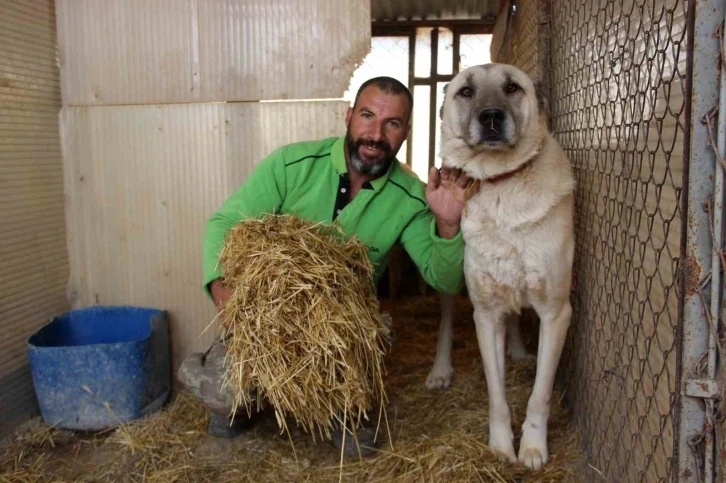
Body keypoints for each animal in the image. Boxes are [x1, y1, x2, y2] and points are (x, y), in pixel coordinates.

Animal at [426, 62, 576, 470]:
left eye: (512, 88)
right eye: (466, 91)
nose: (491, 116)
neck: (501, 184)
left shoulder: (556, 313)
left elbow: (539, 394)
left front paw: (533, 448)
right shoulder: (486, 314)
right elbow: (497, 396)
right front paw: (499, 449)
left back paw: (519, 351)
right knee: (446, 322)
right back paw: (440, 370)